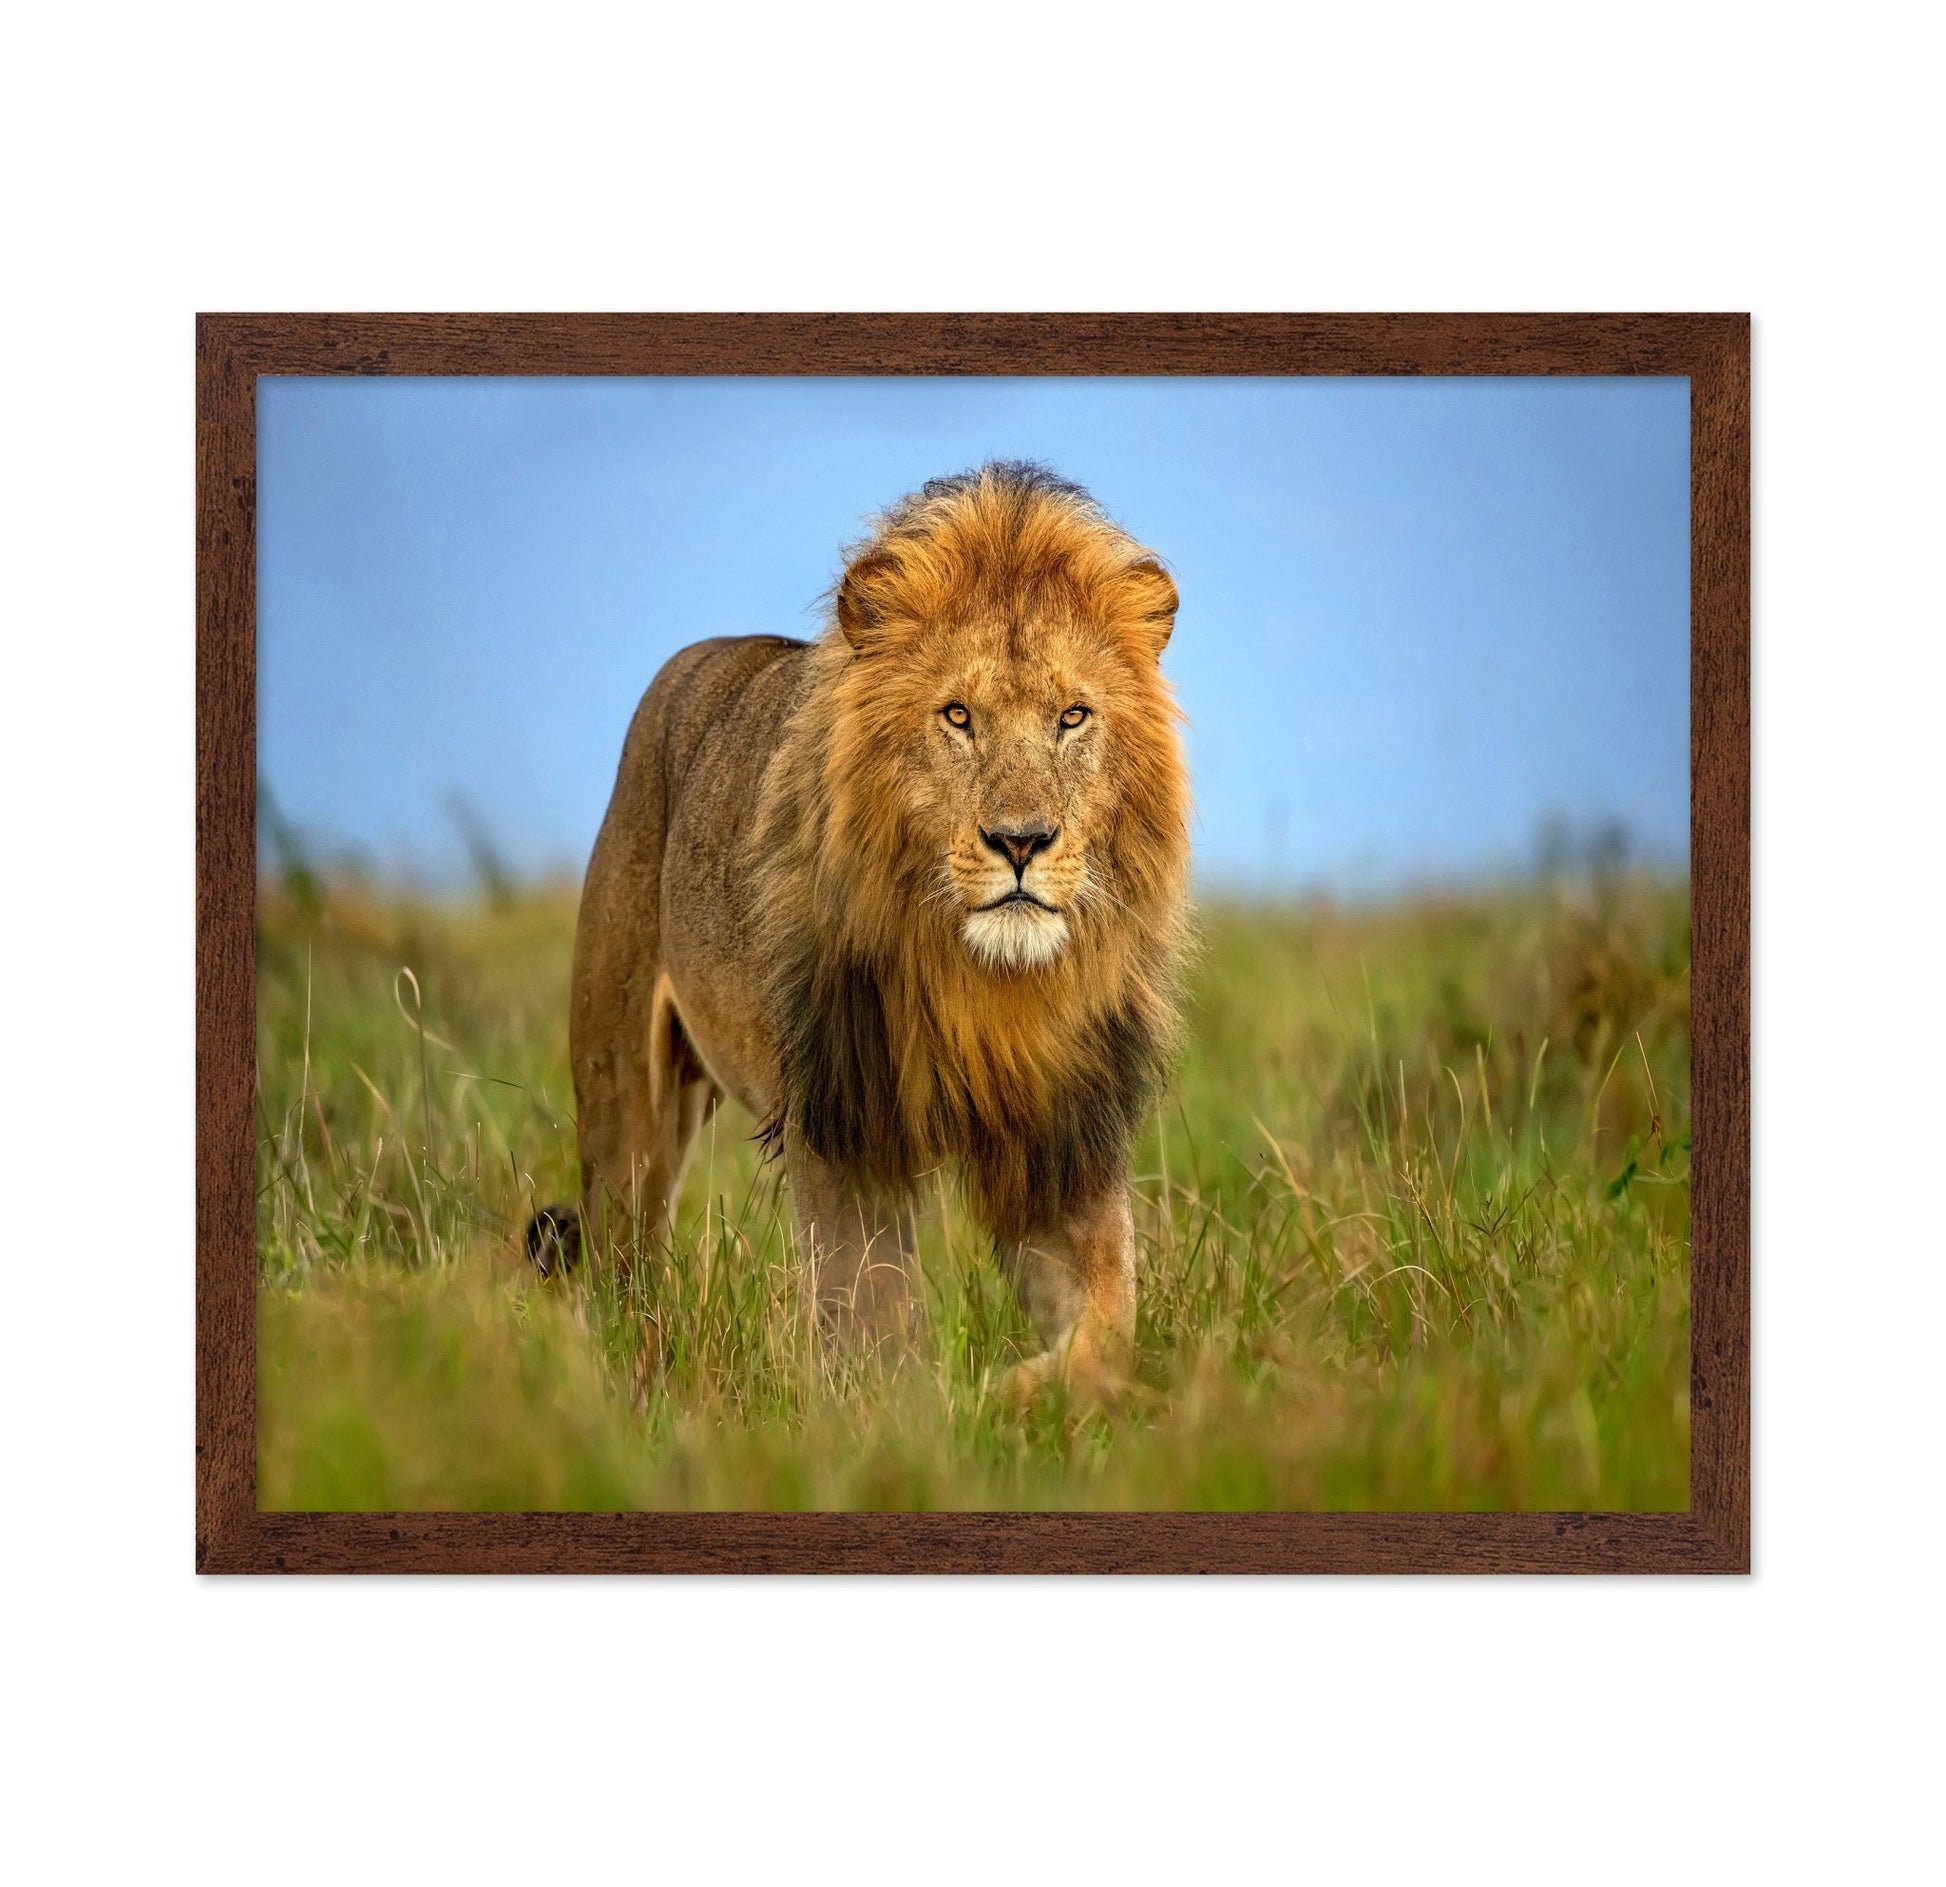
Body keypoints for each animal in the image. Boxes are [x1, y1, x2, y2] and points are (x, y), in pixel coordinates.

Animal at [528, 460, 1191, 1398]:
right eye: (957, 716)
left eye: (1073, 716)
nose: (1021, 840)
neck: (985, 984)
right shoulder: (843, 1124)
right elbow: (871, 1319)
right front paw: (923, 1408)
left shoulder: (1062, 1137)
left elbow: (1108, 1330)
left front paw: (1015, 1390)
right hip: (621, 1086)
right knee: (623, 1255)